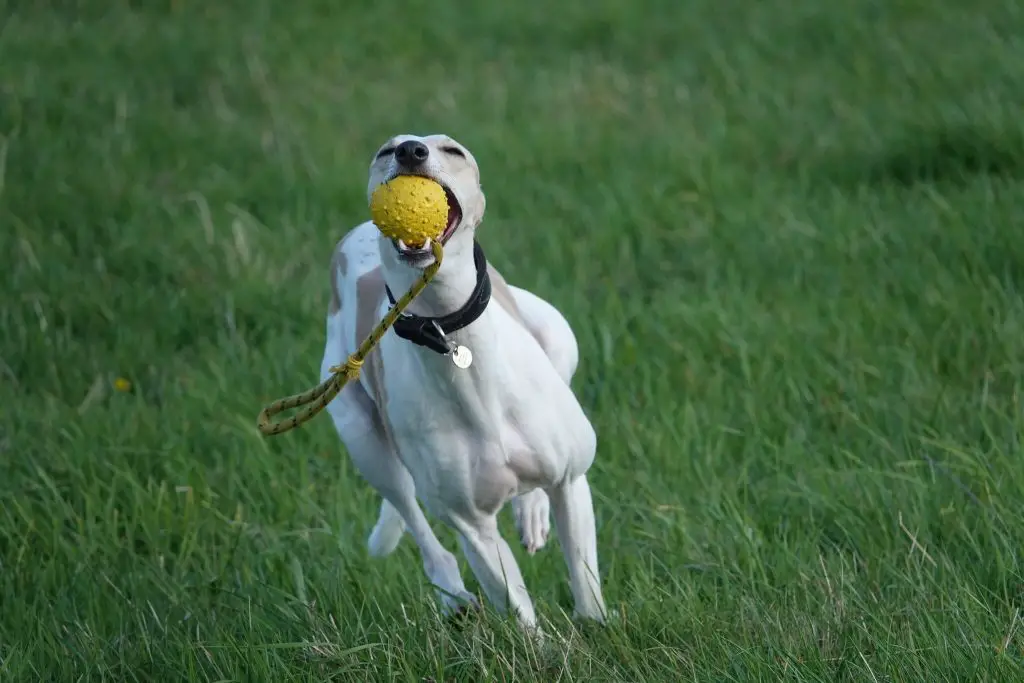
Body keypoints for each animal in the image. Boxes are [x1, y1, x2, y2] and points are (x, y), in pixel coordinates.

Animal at [317, 132, 606, 630]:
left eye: (453, 151)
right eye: (385, 150)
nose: (410, 150)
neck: (447, 332)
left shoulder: (571, 481)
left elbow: (586, 587)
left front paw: (599, 632)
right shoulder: (474, 527)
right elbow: (518, 611)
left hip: (557, 335)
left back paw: (531, 513)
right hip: (363, 441)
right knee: (419, 526)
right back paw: (453, 594)